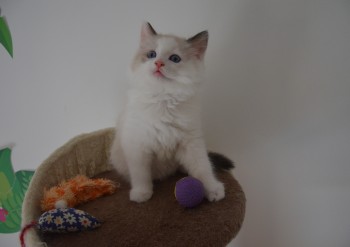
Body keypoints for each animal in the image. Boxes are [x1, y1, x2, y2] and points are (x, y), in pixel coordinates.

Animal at [109, 22, 224, 203]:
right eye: (152, 54)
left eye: (174, 59)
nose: (158, 63)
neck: (163, 99)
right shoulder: (137, 146)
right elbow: (141, 174)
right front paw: (142, 193)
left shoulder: (191, 142)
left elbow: (203, 167)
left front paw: (212, 189)